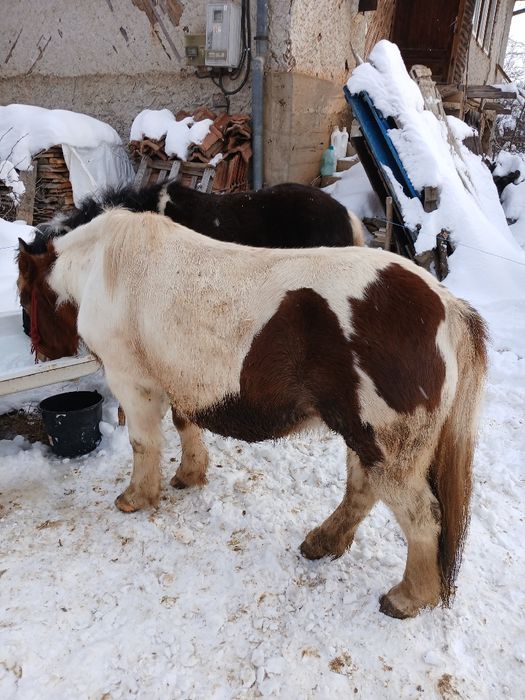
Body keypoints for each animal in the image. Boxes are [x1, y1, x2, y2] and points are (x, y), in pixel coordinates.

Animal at [19, 208, 488, 619]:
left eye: (24, 293)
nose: (43, 353)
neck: (106, 267)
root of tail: (446, 306)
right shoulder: (181, 383)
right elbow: (185, 424)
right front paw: (189, 474)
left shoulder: (135, 385)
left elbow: (142, 444)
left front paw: (136, 497)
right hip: (364, 436)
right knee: (362, 491)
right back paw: (324, 542)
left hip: (385, 447)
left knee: (422, 518)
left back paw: (407, 599)